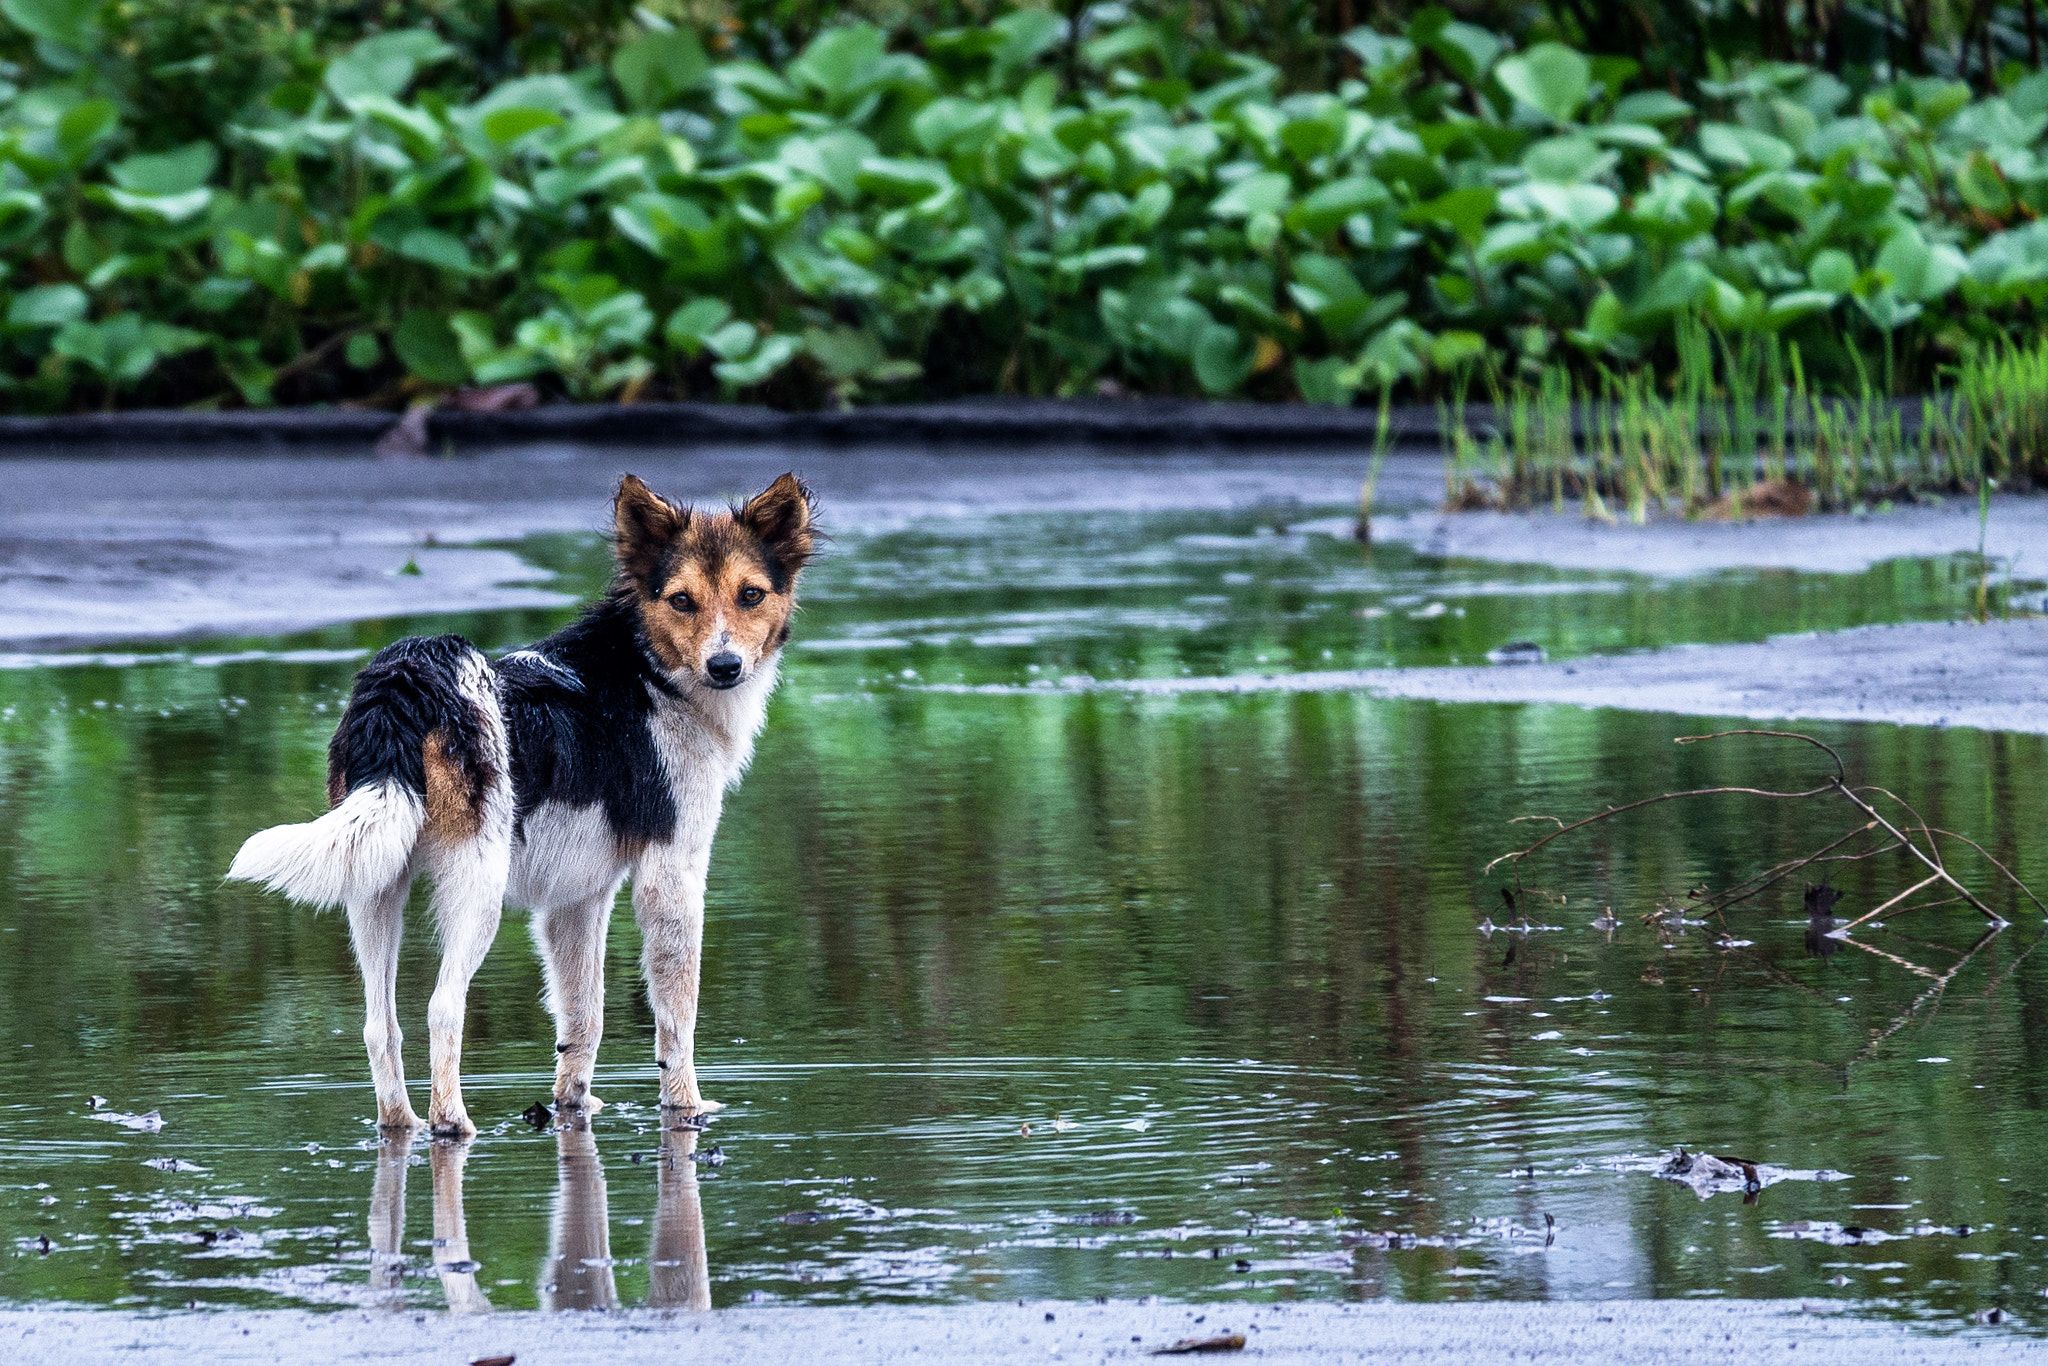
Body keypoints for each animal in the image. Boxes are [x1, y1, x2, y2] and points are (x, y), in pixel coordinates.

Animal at [226, 475, 815, 1138]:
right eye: (682, 601)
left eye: (750, 594)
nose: (725, 666)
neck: (650, 671)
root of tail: (407, 677)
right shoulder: (673, 876)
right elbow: (676, 1019)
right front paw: (686, 1107)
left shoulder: (577, 901)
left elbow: (582, 1020)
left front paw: (572, 1108)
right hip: (477, 888)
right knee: (441, 1008)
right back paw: (453, 1123)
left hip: (376, 885)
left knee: (381, 1026)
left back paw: (403, 1125)